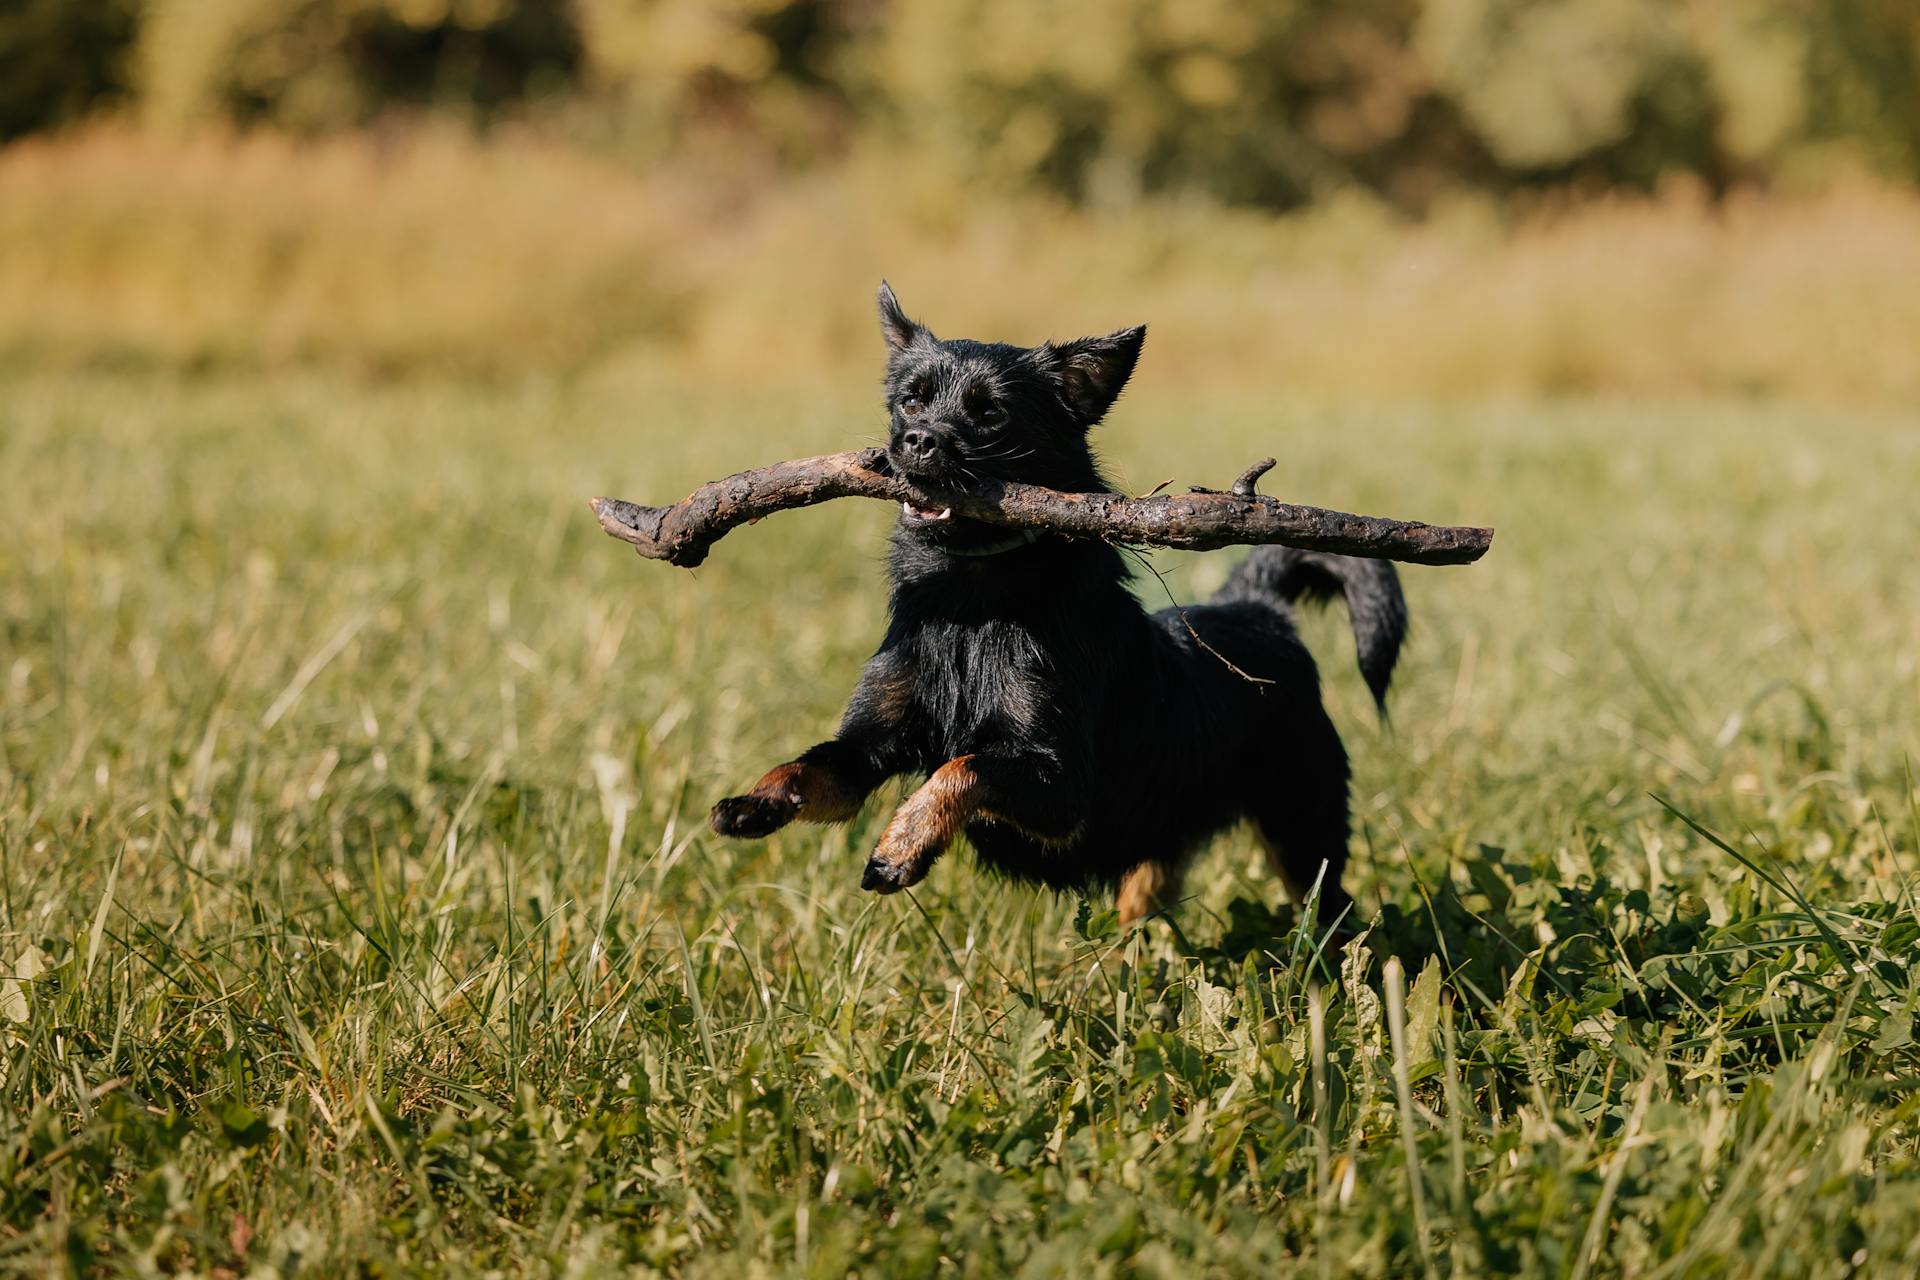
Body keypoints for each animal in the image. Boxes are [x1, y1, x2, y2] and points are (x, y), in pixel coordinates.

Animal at [714, 285, 1405, 924]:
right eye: (910, 399)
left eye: (990, 414)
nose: (916, 440)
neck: (971, 601)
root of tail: (1257, 606)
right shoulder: (865, 751)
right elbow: (812, 766)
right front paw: (758, 799)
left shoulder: (1061, 788)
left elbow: (961, 767)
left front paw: (904, 842)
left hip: (1302, 836)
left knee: (1336, 915)